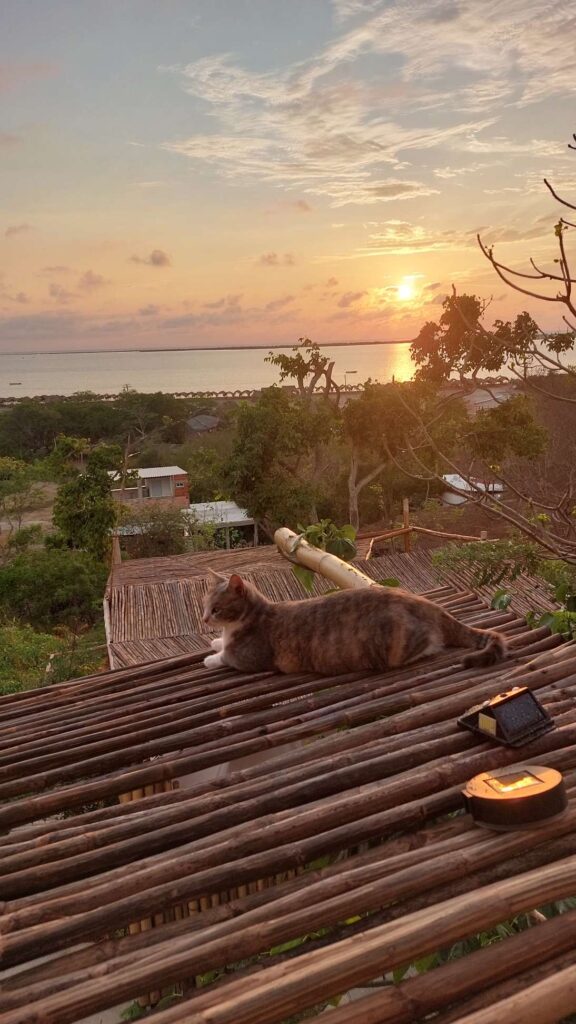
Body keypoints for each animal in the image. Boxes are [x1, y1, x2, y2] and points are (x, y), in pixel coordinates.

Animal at [200, 573, 502, 675]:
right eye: (203, 606)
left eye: (216, 609)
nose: (203, 619)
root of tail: (430, 605)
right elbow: (221, 644)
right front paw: (215, 641)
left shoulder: (251, 657)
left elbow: (227, 657)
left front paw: (211, 657)